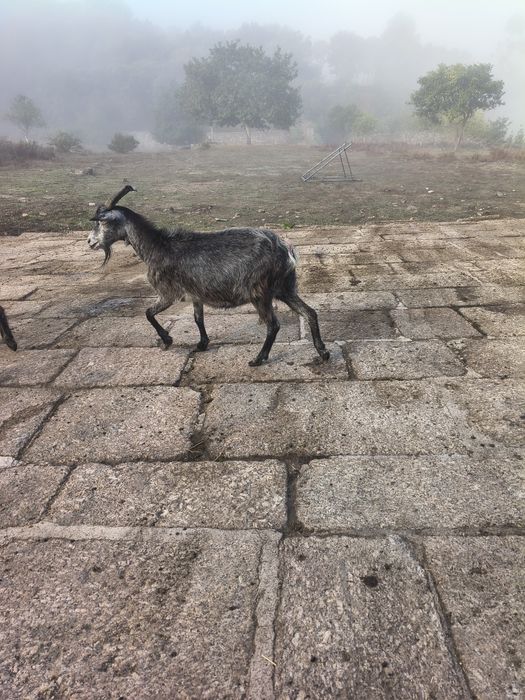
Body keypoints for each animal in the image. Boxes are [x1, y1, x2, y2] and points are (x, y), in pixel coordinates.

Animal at [88, 185, 329, 366]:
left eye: (103, 221)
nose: (90, 242)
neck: (157, 247)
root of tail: (286, 250)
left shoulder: (168, 293)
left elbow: (148, 313)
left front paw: (167, 339)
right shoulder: (196, 294)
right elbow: (198, 319)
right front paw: (202, 344)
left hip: (259, 292)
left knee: (273, 325)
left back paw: (258, 359)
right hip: (284, 287)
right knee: (309, 312)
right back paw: (323, 352)